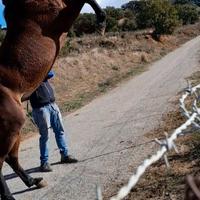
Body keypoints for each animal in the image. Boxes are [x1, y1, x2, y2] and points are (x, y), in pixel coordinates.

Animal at [0, 0, 106, 199]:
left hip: (12, 131)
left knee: (11, 158)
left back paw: (34, 181)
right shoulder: (60, 21)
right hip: (12, 125)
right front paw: (101, 21)